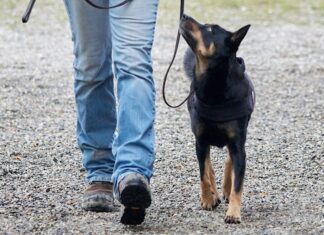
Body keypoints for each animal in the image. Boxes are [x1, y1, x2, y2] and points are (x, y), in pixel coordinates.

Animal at [178, 14, 254, 224]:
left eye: (211, 29)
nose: (184, 15)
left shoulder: (238, 145)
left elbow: (238, 184)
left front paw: (233, 212)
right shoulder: (200, 140)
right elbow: (203, 173)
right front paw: (207, 199)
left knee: (229, 161)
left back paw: (225, 190)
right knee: (208, 165)